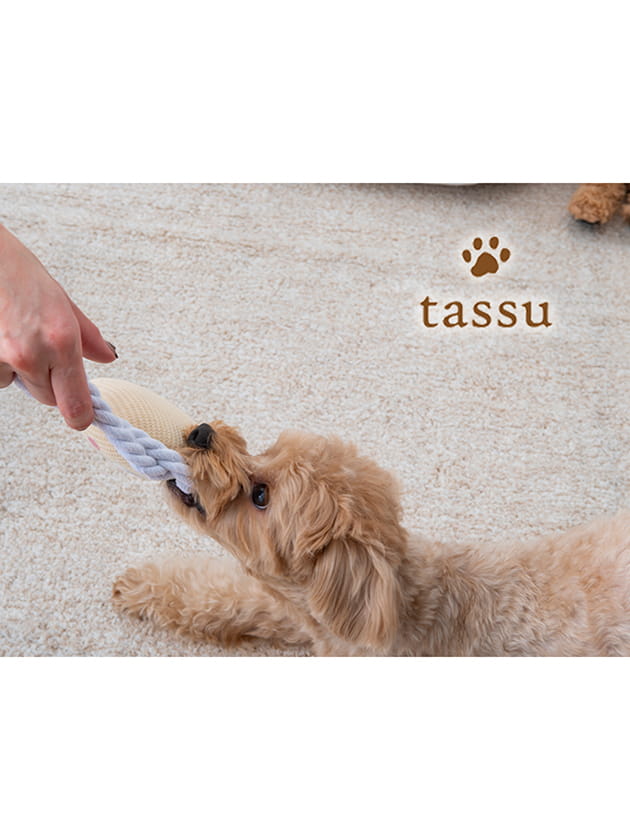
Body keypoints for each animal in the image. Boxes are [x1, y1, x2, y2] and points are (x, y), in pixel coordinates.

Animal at [113, 421, 630, 655]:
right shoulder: (303, 611)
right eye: (268, 450)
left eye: (260, 496)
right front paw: (142, 587)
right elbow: (229, 593)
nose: (202, 432)